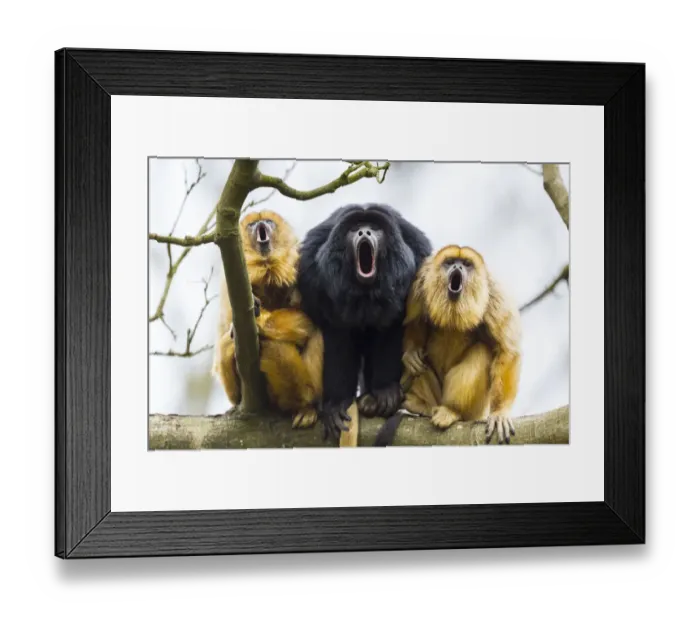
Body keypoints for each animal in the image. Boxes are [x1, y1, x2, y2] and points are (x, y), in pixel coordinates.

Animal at [211, 210, 323, 429]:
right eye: (252, 224)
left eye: (268, 222)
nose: (260, 224)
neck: (267, 268)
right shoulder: (229, 285)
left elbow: (312, 318)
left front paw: (261, 324)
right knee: (226, 344)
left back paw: (306, 404)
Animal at [296, 204, 432, 442]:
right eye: (355, 229)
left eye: (375, 229)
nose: (364, 232)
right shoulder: (313, 275)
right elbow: (336, 337)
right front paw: (337, 404)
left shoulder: (417, 261)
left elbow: (393, 330)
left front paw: (385, 390)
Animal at [382, 245, 522, 445]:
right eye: (450, 262)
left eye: (466, 264)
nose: (457, 267)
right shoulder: (420, 282)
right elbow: (414, 322)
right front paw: (411, 354)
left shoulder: (495, 296)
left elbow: (507, 351)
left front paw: (500, 413)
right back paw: (421, 405)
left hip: (476, 411)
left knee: (482, 352)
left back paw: (452, 410)